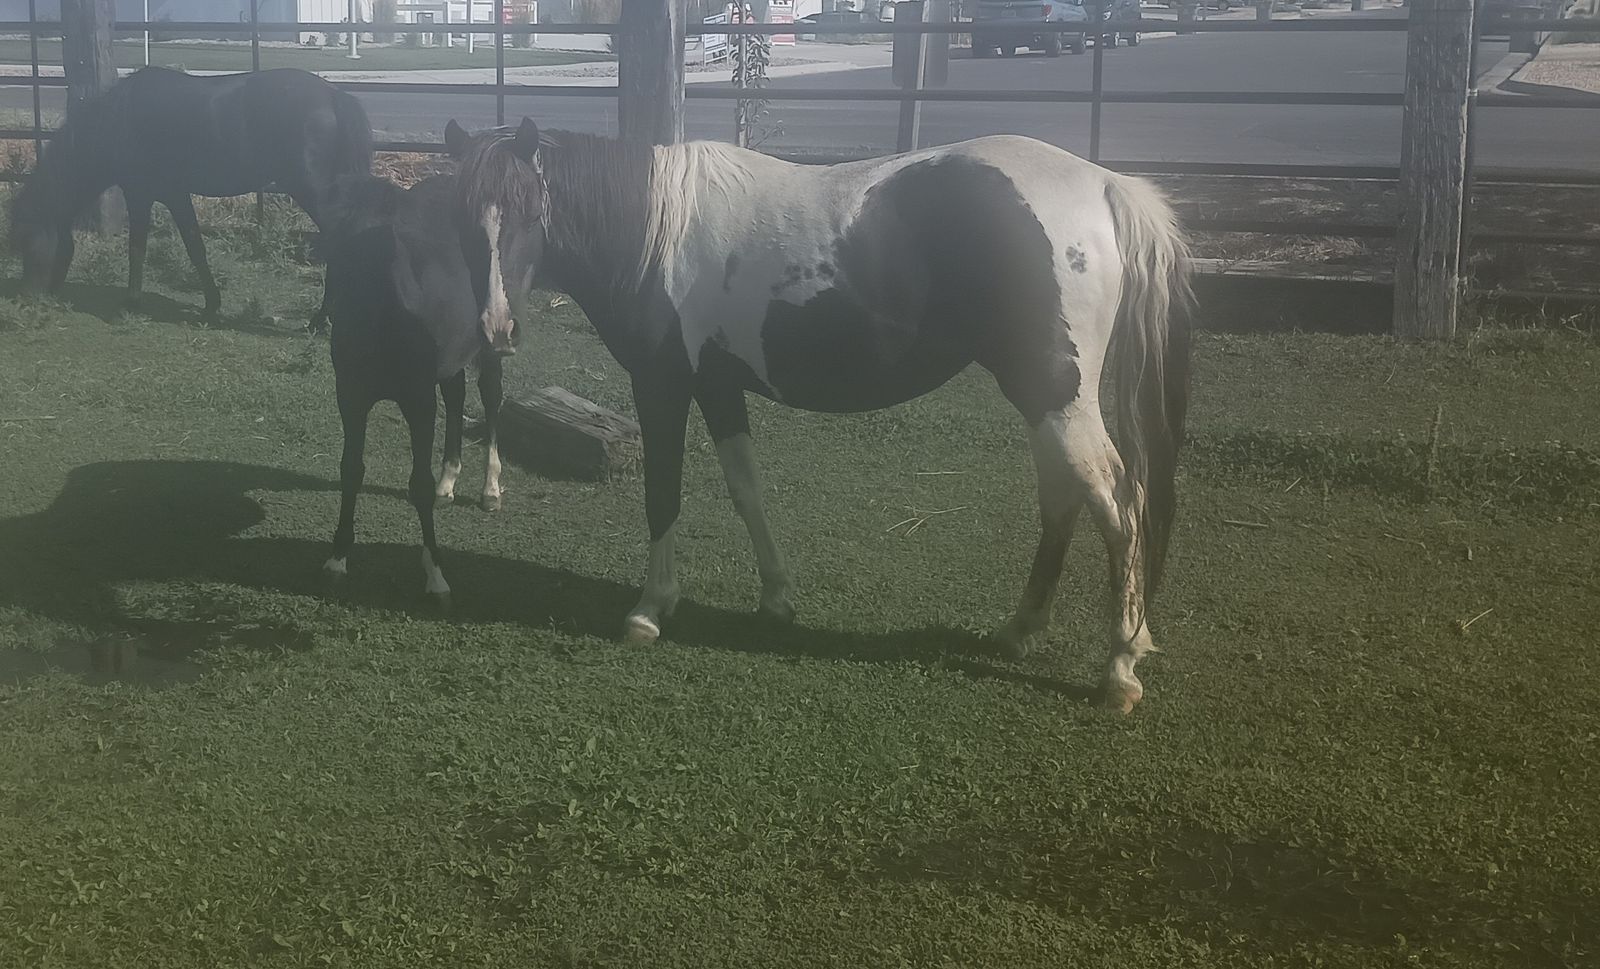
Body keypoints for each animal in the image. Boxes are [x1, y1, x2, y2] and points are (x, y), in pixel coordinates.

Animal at [8, 67, 372, 323]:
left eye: (27, 240)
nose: (25, 297)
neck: (117, 120)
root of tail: (333, 96)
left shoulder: (139, 194)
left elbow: (137, 248)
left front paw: (129, 304)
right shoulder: (176, 195)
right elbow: (195, 247)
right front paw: (211, 304)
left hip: (311, 191)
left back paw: (320, 320)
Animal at [316, 173, 512, 608]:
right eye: (340, 242)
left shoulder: (419, 401)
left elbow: (417, 483)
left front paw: (436, 574)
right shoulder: (350, 395)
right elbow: (350, 469)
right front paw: (337, 558)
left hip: (488, 341)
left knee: (491, 395)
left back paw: (490, 488)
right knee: (456, 396)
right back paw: (448, 481)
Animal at [445, 118, 1192, 712]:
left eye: (525, 208)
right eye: (462, 214)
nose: (495, 329)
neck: (652, 231)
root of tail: (1103, 185)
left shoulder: (662, 386)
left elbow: (663, 494)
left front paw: (649, 610)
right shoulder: (718, 388)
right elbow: (745, 487)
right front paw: (776, 597)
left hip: (1056, 396)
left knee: (1119, 504)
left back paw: (1120, 666)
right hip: (1045, 400)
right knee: (1066, 498)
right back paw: (1023, 629)